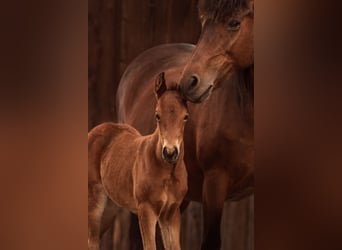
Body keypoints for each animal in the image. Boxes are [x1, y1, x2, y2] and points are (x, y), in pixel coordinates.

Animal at [88, 73, 190, 250]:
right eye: (157, 115)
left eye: (185, 117)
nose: (170, 153)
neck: (167, 173)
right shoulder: (146, 209)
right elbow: (149, 246)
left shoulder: (171, 212)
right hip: (94, 202)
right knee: (91, 240)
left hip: (110, 206)